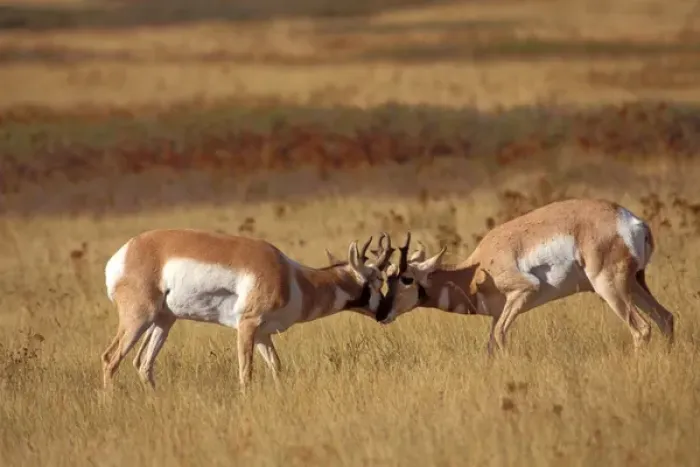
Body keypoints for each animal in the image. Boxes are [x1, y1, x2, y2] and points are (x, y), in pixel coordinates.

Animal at [101, 229, 394, 393]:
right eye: (377, 280)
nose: (387, 313)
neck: (292, 278)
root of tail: (123, 254)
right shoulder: (247, 326)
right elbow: (246, 372)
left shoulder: (263, 334)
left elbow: (276, 367)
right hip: (139, 319)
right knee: (110, 358)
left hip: (164, 321)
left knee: (143, 364)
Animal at [376, 198, 676, 353]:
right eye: (385, 278)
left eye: (406, 278)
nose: (381, 314)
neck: (477, 268)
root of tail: (632, 221)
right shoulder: (498, 312)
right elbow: (490, 343)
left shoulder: (523, 292)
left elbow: (500, 335)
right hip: (635, 284)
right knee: (666, 318)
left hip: (610, 288)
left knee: (642, 329)